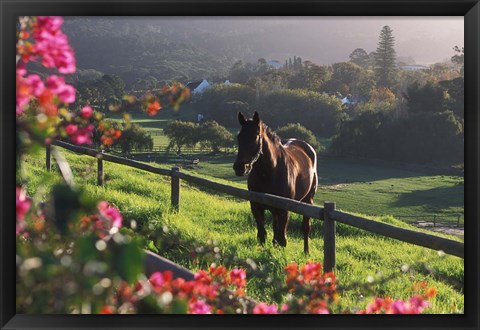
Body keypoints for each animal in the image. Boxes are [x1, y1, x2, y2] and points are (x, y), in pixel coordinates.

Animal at [233, 112, 318, 254]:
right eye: (239, 136)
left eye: (255, 136)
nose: (239, 167)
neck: (270, 171)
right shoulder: (256, 206)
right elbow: (262, 234)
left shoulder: (284, 209)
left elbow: (282, 239)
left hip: (308, 200)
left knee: (305, 228)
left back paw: (306, 252)